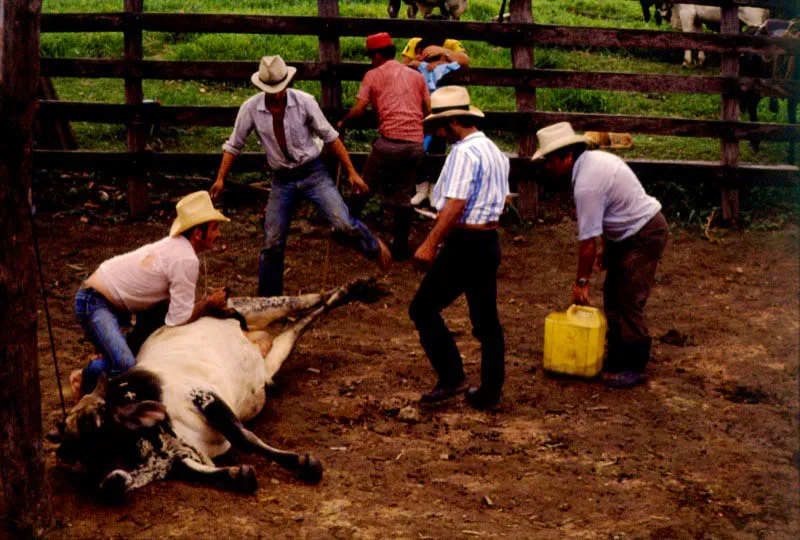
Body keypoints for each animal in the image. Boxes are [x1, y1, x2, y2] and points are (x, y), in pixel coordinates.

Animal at [48, 280, 386, 500]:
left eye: (99, 430)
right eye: (77, 455)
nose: (107, 483)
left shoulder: (203, 395)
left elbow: (244, 437)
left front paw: (305, 463)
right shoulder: (179, 457)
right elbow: (234, 474)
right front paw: (240, 473)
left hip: (250, 306)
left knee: (309, 299)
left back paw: (360, 288)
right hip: (274, 357)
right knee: (301, 323)